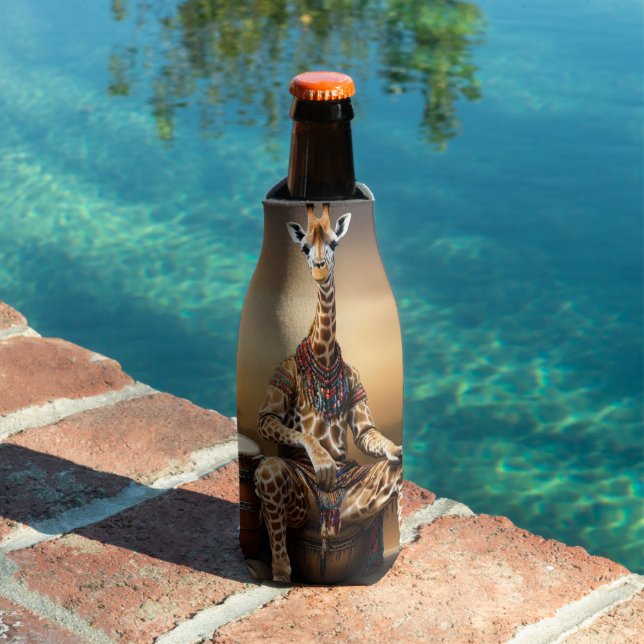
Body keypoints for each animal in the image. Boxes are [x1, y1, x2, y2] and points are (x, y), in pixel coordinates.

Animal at [253, 203, 403, 583]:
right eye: (304, 248)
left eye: (334, 243)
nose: (320, 268)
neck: (323, 353)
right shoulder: (279, 379)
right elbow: (272, 420)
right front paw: (322, 459)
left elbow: (367, 435)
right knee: (270, 473)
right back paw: (279, 574)